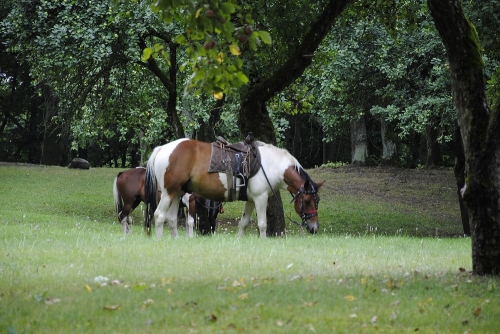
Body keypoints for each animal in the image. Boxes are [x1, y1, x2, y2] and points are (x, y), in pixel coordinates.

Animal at [145, 138, 324, 237]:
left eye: (318, 200)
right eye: (307, 201)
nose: (315, 228)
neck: (270, 164)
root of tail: (162, 149)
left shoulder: (251, 200)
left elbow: (243, 223)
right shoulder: (261, 198)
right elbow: (262, 224)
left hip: (177, 194)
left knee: (171, 219)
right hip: (168, 193)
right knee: (159, 216)